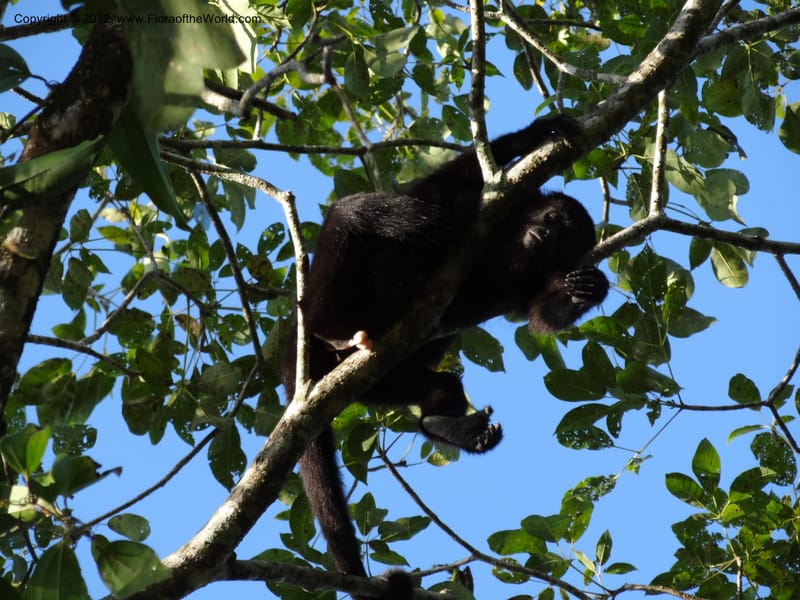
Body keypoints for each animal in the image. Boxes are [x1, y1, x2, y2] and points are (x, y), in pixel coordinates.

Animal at [281, 115, 608, 599]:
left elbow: (541, 317)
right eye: (552, 220)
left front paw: (587, 289)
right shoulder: (478, 199)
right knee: (356, 212)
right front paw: (538, 132)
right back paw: (338, 322)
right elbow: (446, 184)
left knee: (438, 385)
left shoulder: (534, 281)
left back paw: (449, 424)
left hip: (382, 379)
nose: (546, 234)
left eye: (563, 240)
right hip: (325, 300)